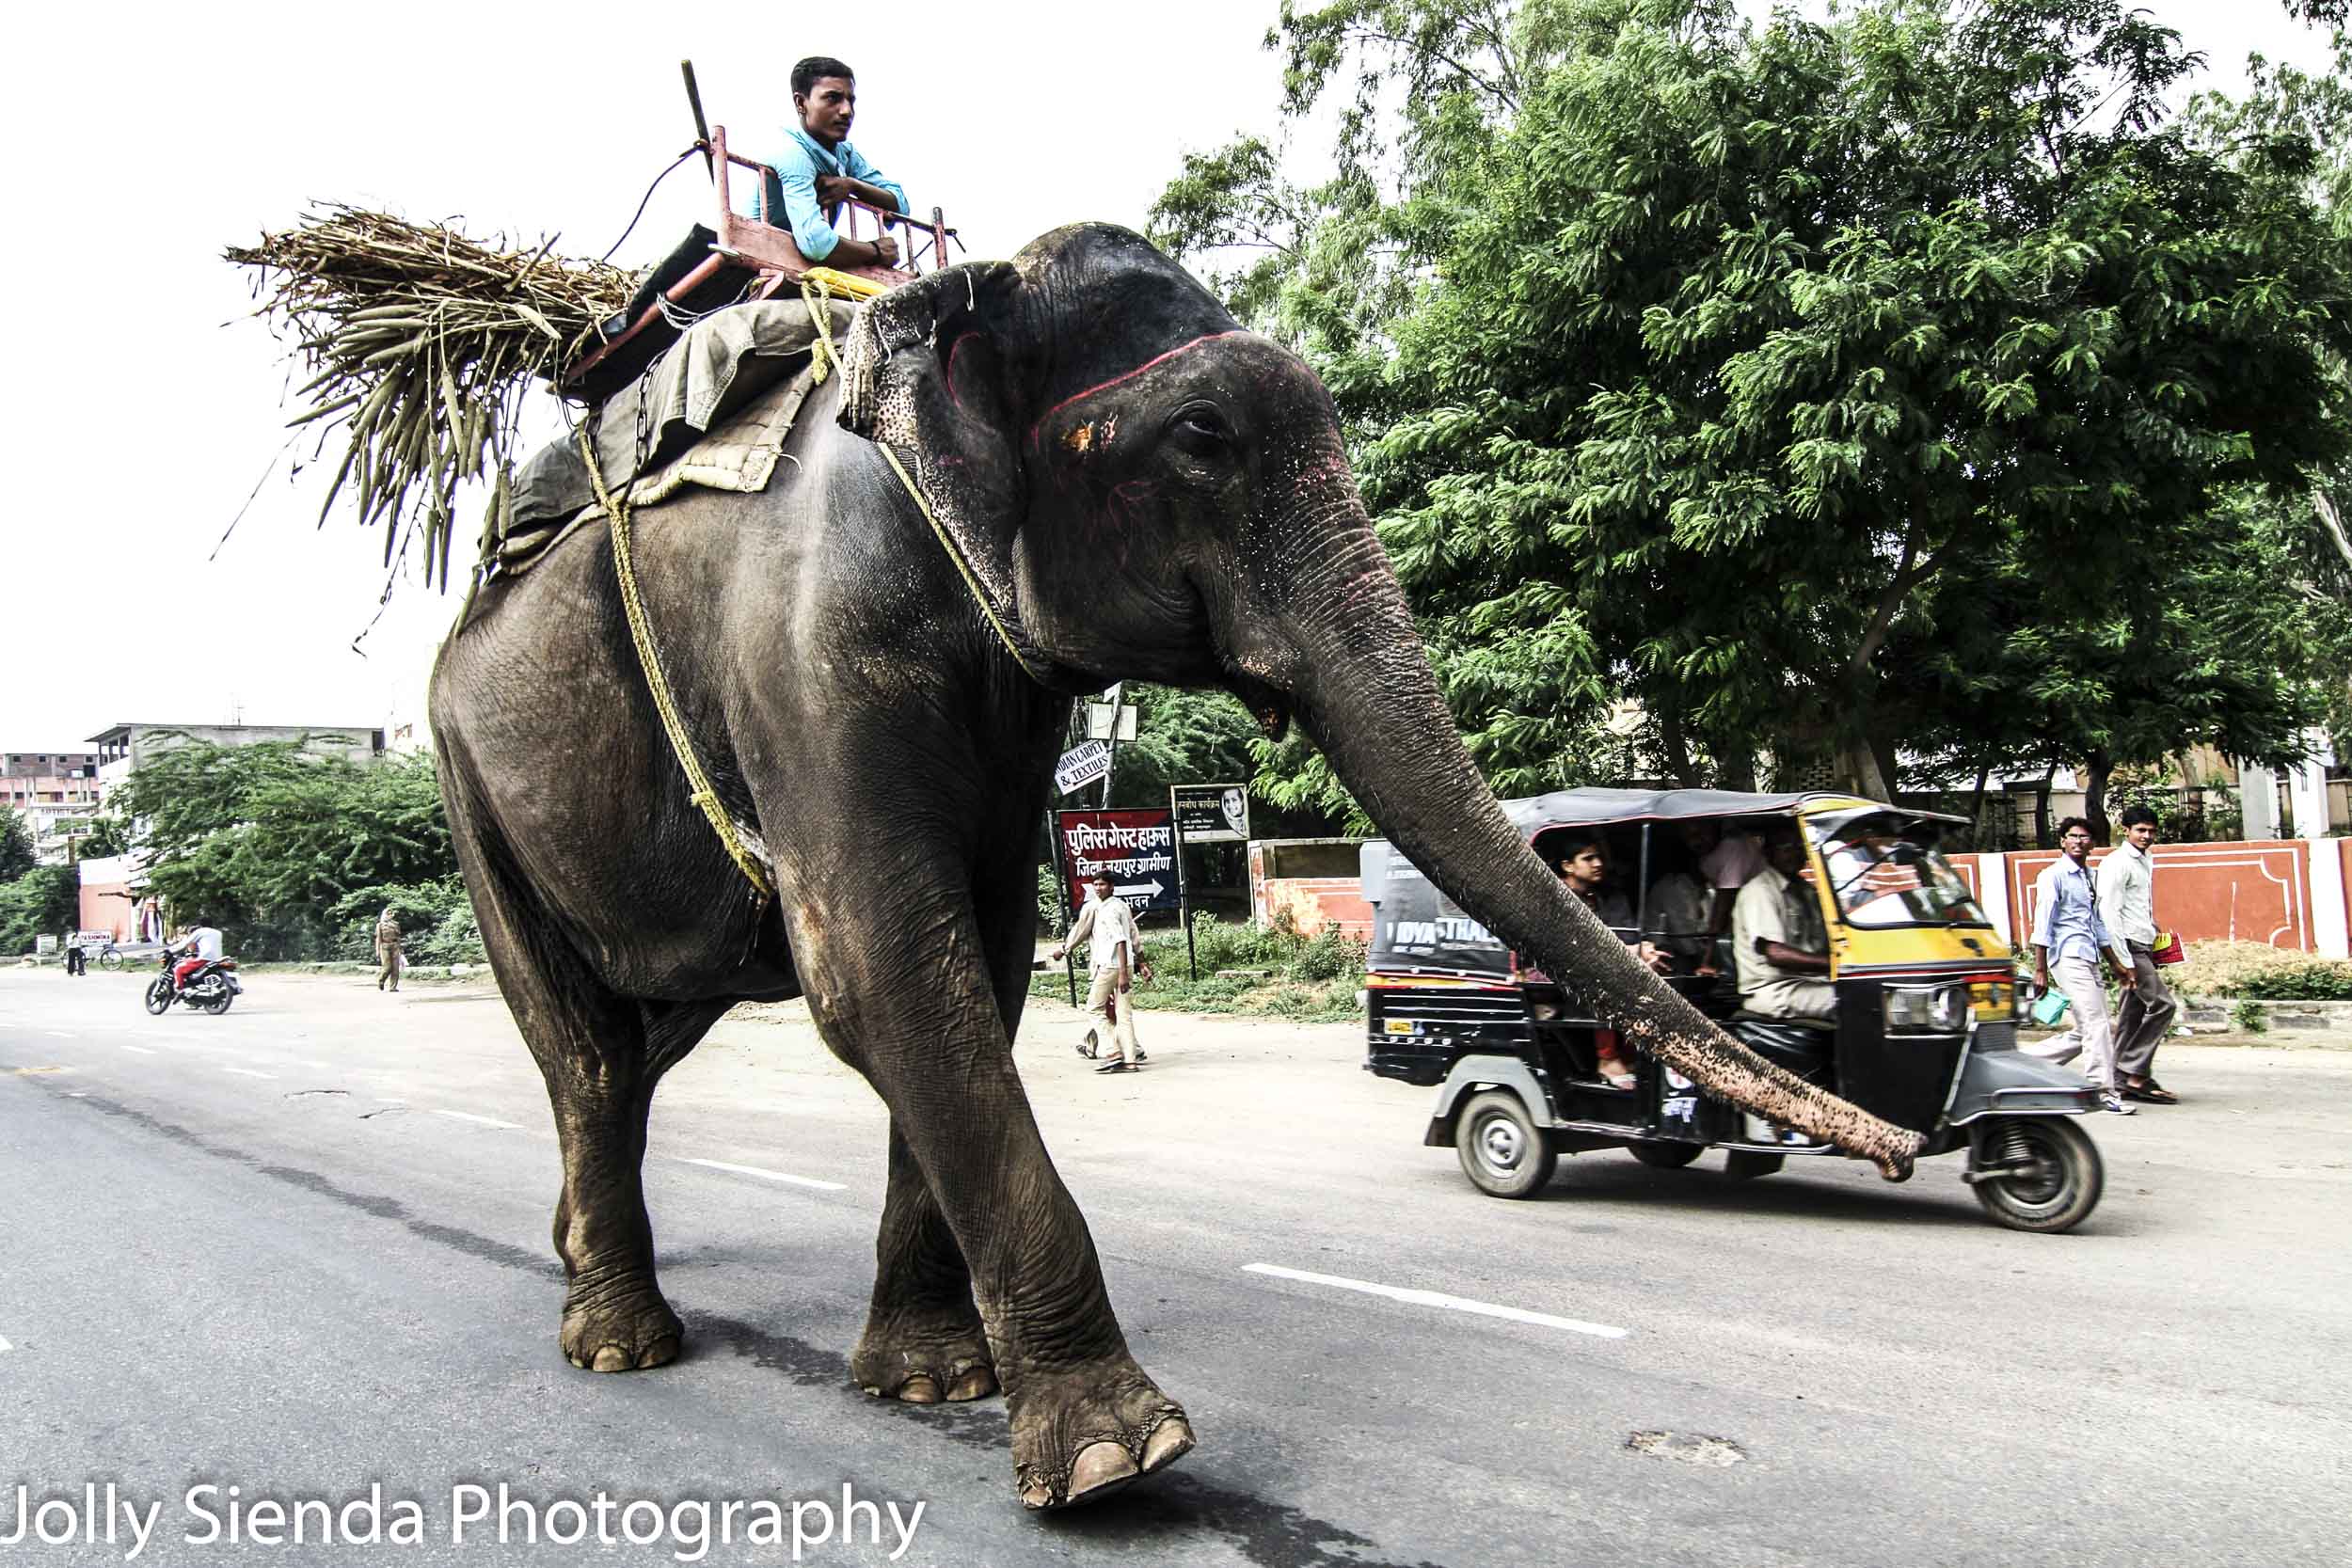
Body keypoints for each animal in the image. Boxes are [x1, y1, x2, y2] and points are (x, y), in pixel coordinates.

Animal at [433, 220, 1919, 1504]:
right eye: (1204, 436)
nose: (1906, 1152)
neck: (958, 311)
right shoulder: (805, 651)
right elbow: (880, 966)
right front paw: (1114, 1456)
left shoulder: (1000, 702)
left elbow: (978, 956)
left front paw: (930, 1382)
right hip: (465, 776)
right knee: (584, 1043)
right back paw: (620, 1340)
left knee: (644, 1033)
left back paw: (578, 1258)